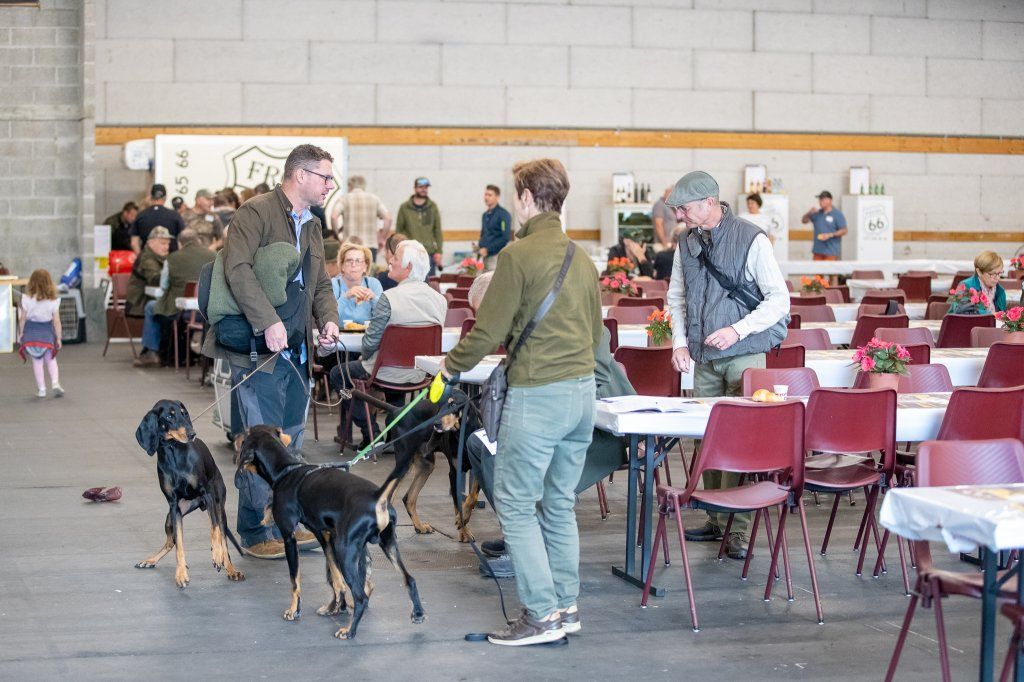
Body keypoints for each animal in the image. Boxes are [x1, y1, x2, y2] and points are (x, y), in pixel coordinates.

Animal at [133, 399, 244, 585]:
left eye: (184, 413)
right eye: (170, 416)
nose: (192, 433)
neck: (173, 451)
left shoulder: (207, 494)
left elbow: (215, 530)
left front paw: (217, 555)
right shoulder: (174, 506)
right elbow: (179, 543)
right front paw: (181, 573)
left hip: (218, 506)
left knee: (222, 536)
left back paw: (230, 568)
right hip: (169, 518)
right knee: (171, 542)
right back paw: (151, 560)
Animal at [238, 425, 423, 638]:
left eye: (246, 433)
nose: (236, 437)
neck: (286, 471)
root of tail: (378, 498)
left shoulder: (289, 537)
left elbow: (295, 580)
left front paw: (294, 610)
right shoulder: (325, 536)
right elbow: (336, 579)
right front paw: (335, 607)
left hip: (346, 551)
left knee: (361, 597)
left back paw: (349, 631)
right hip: (387, 544)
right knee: (409, 580)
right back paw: (418, 613)